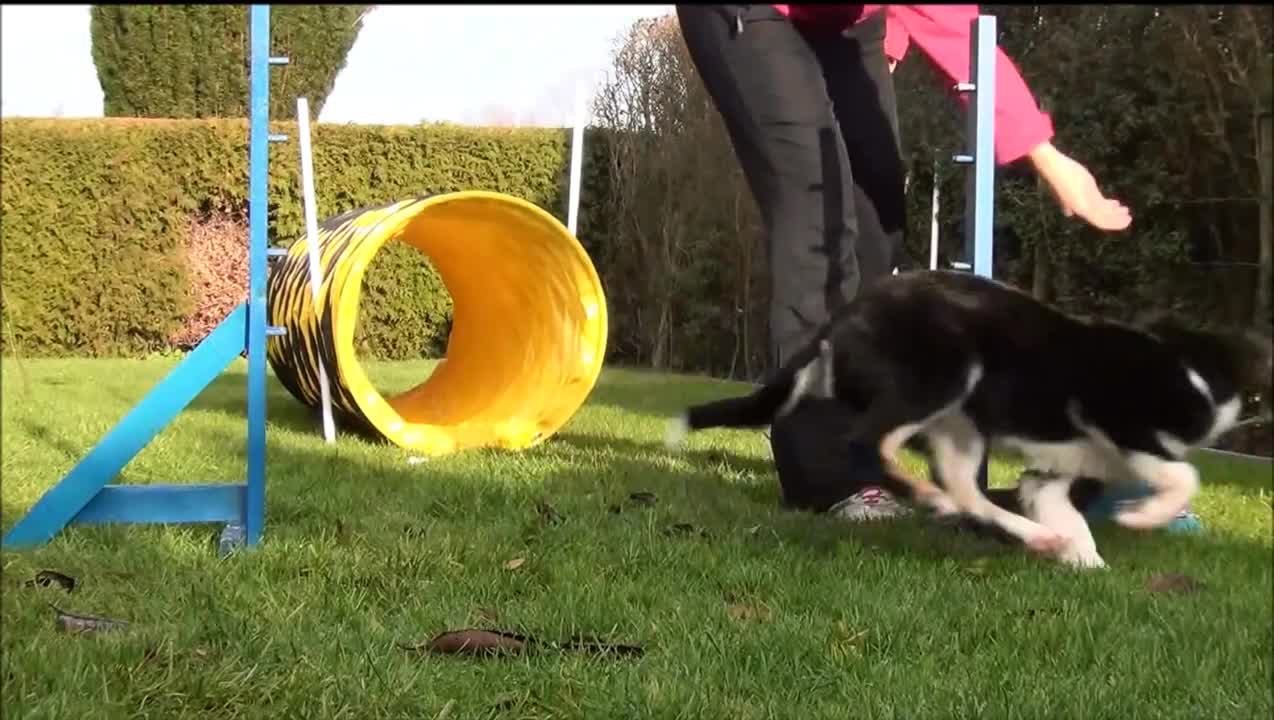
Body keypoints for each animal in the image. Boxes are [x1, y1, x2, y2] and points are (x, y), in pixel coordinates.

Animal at [662, 270, 1268, 568]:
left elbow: (1064, 511)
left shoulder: (1049, 474)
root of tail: (843, 316)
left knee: (965, 490)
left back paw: (1030, 535)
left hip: (961, 426)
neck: (1187, 364)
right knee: (868, 444)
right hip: (944, 371)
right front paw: (1143, 517)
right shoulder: (1123, 420)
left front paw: (1082, 558)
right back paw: (928, 498)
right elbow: (1183, 474)